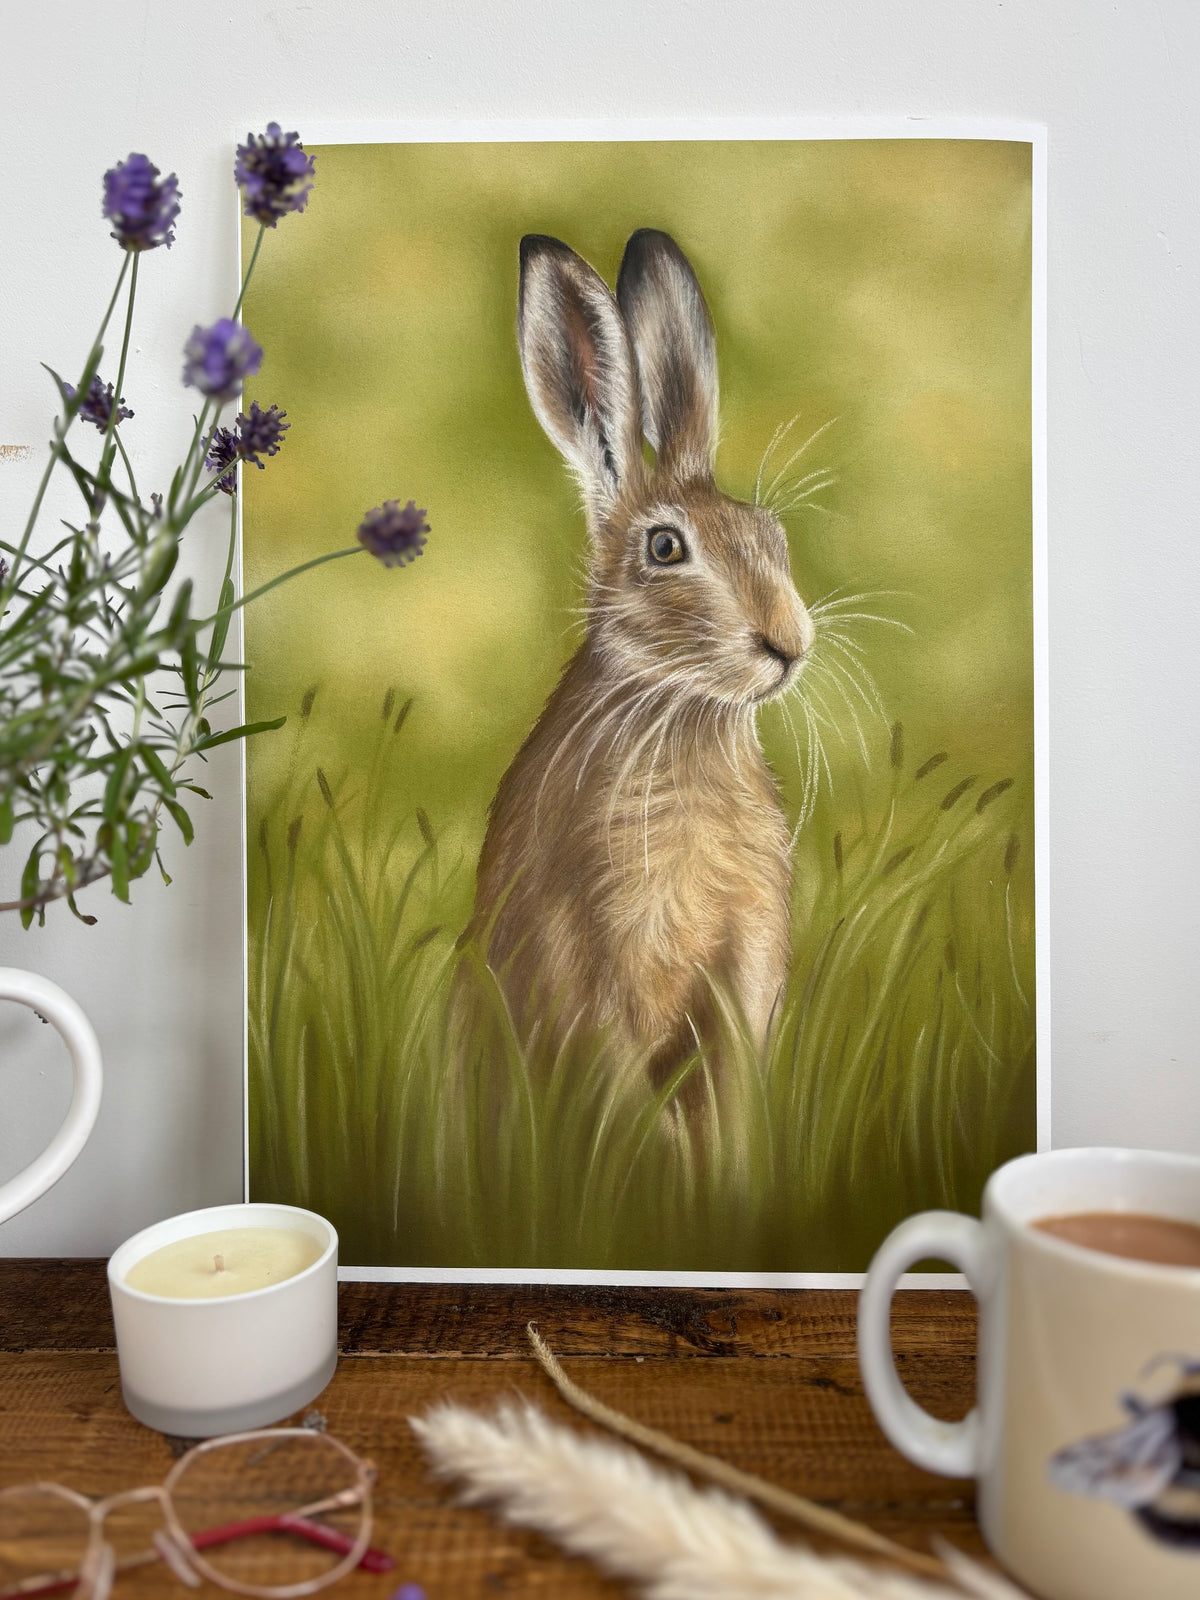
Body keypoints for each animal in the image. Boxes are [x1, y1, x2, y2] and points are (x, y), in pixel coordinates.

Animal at [469, 229, 814, 1094]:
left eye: (771, 535)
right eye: (663, 549)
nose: (788, 643)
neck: (683, 715)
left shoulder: (743, 975)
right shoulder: (599, 970)